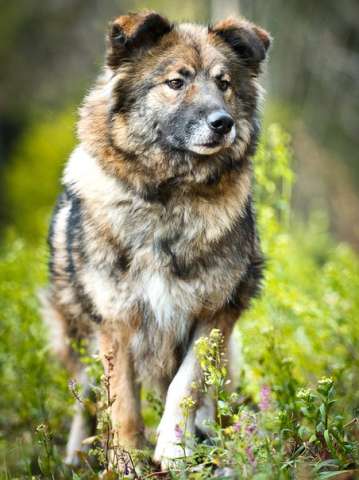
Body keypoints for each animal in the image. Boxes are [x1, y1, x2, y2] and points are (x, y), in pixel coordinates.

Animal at [43, 10, 270, 468]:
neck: (169, 199)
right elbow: (121, 403)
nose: (223, 123)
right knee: (86, 396)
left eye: (224, 83)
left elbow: (186, 385)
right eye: (176, 82)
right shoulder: (115, 323)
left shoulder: (214, 314)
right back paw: (77, 454)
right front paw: (126, 460)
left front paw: (176, 448)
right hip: (74, 335)